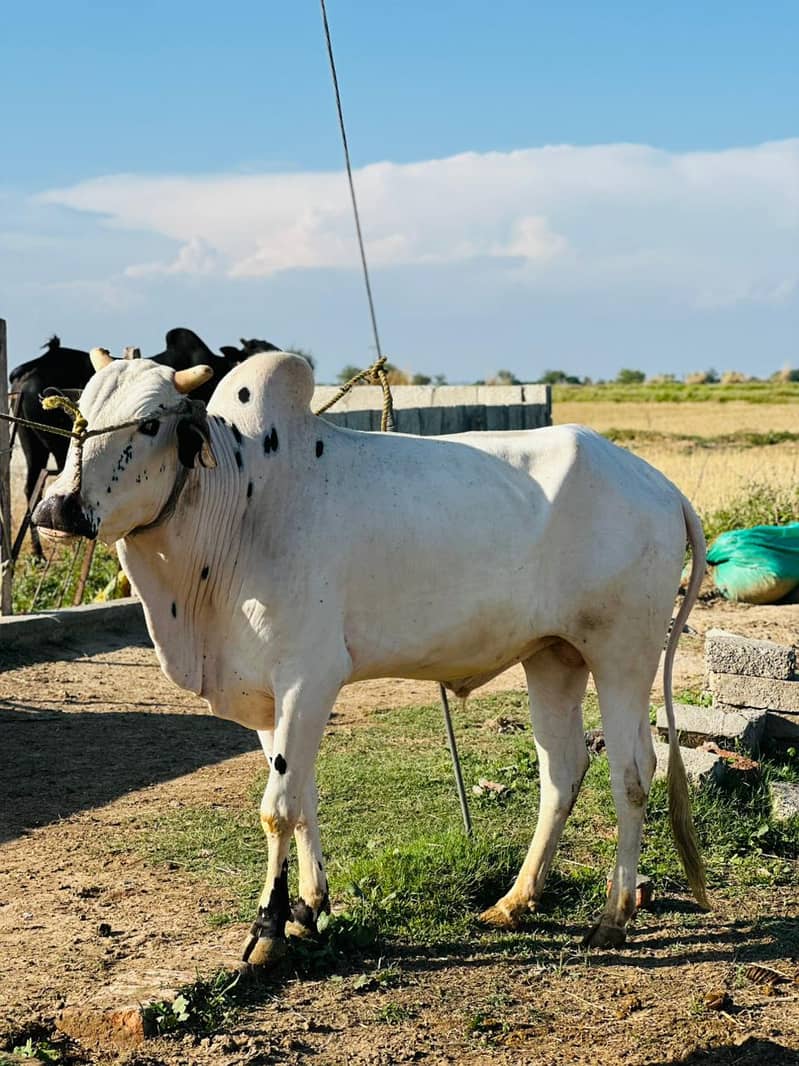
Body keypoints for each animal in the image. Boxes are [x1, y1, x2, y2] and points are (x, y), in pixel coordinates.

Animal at [33, 349, 708, 966]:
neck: (240, 508)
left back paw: (612, 917)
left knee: (633, 773)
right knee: (562, 770)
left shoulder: (309, 677)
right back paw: (516, 900)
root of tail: (659, 484)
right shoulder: (265, 697)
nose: (56, 508)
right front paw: (308, 907)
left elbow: (277, 808)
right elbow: (302, 799)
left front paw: (266, 930)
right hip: (552, 657)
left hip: (622, 655)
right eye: (78, 415)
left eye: (150, 423)